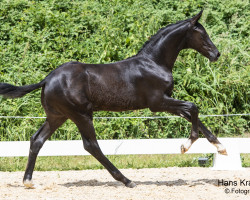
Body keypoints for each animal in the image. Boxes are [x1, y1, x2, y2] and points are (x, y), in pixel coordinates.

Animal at [0, 10, 227, 189]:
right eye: (201, 33)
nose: (216, 54)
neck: (154, 63)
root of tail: (47, 79)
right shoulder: (157, 103)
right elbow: (193, 107)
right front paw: (186, 146)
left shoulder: (165, 101)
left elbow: (191, 114)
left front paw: (220, 147)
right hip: (81, 114)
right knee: (91, 146)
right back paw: (127, 180)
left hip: (58, 116)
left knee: (37, 140)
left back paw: (28, 181)